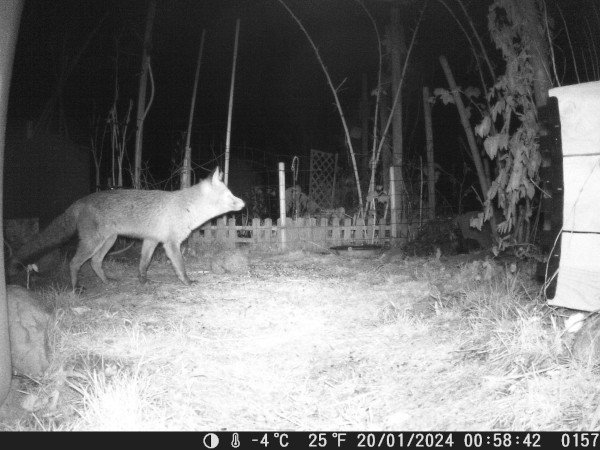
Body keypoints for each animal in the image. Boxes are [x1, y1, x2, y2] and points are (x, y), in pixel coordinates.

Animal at [9, 168, 245, 288]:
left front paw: (143, 280)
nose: (243, 203)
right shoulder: (171, 244)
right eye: (229, 195)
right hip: (93, 242)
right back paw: (76, 288)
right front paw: (187, 281)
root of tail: (80, 201)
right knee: (75, 263)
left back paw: (107, 281)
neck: (187, 207)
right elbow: (181, 266)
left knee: (95, 263)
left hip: (108, 241)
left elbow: (143, 263)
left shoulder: (151, 240)